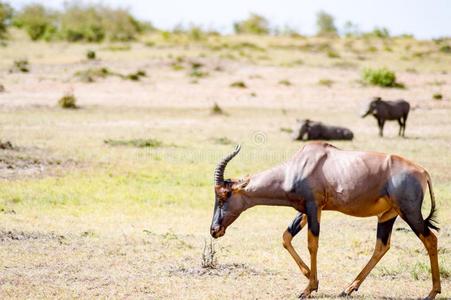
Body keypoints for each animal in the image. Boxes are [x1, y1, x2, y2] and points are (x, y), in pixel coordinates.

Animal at [212, 142, 442, 298]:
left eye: (224, 195)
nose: (214, 230)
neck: (302, 164)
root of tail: (423, 172)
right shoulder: (307, 210)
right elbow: (286, 237)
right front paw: (309, 277)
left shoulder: (313, 207)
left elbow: (312, 244)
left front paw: (308, 288)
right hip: (388, 215)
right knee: (382, 246)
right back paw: (349, 288)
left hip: (409, 212)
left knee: (430, 239)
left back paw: (432, 292)